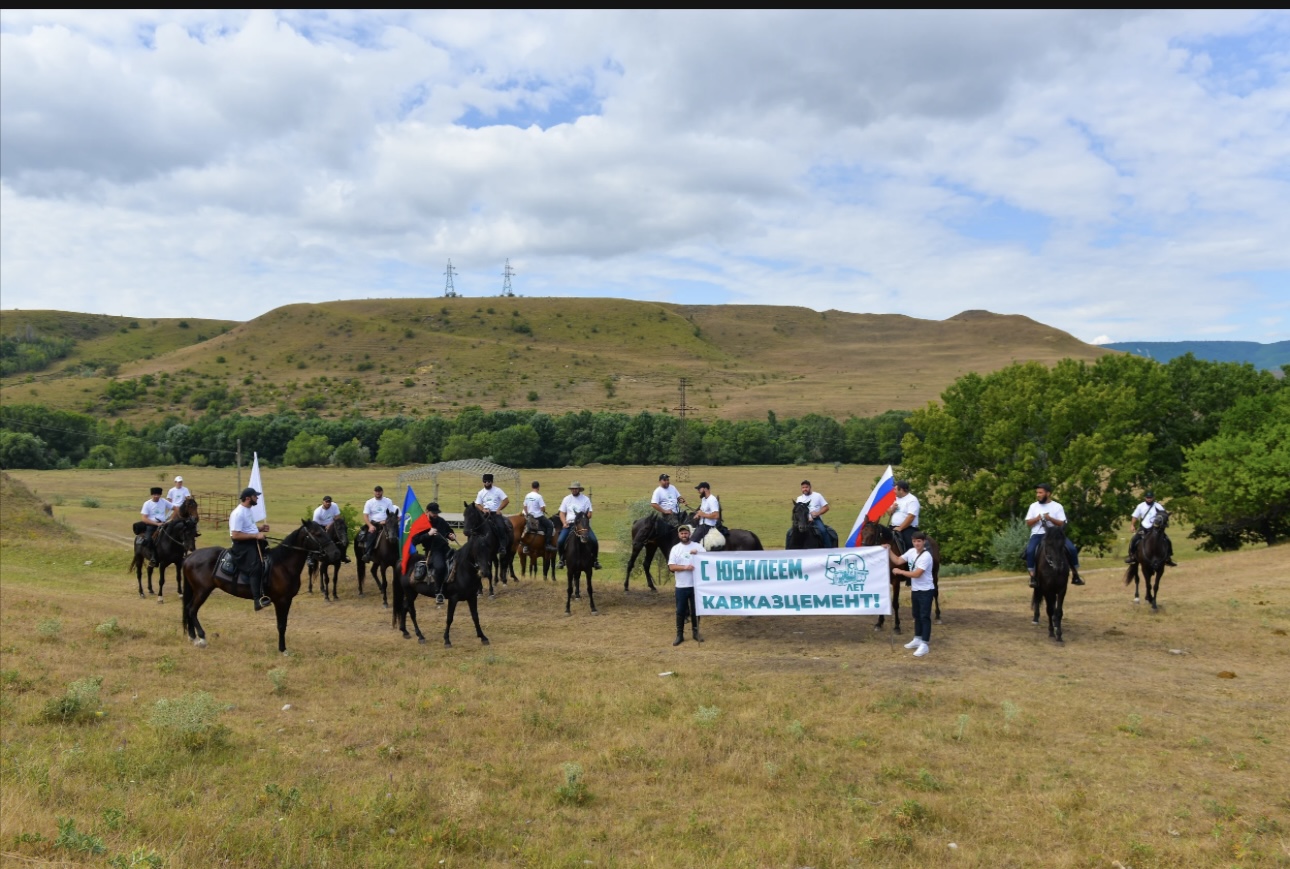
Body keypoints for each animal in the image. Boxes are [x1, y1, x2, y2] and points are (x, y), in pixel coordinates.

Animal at [184, 518, 343, 652]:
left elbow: (284, 623)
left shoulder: (287, 600)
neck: (283, 564)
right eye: (318, 534)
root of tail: (190, 557)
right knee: (192, 610)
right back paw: (201, 638)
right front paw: (282, 649)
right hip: (202, 591)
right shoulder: (281, 600)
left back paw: (192, 637)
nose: (336, 553)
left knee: (188, 609)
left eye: (325, 530)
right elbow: (281, 625)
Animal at [389, 507, 490, 642]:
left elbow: (475, 616)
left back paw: (404, 631)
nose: (485, 572)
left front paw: (483, 637)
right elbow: (449, 618)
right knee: (411, 610)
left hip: (412, 592)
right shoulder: (453, 598)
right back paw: (420, 635)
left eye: (487, 549)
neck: (462, 570)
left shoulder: (472, 597)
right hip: (409, 592)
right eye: (476, 550)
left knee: (404, 607)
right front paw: (447, 639)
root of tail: (402, 562)